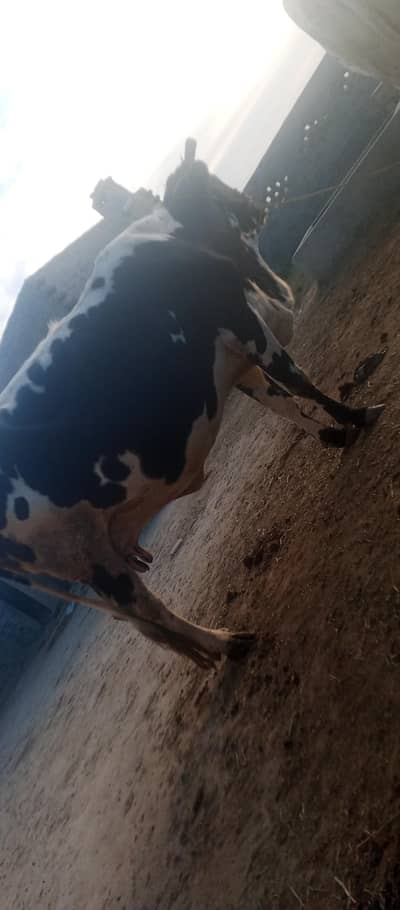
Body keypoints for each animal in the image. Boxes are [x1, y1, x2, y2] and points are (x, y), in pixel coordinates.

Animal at [0, 154, 384, 669]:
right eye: (210, 184)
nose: (254, 205)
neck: (176, 240)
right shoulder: (243, 324)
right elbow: (298, 378)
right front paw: (357, 416)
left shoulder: (232, 358)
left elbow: (281, 401)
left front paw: (332, 434)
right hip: (84, 553)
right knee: (150, 613)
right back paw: (227, 642)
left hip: (90, 555)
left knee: (147, 625)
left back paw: (210, 650)